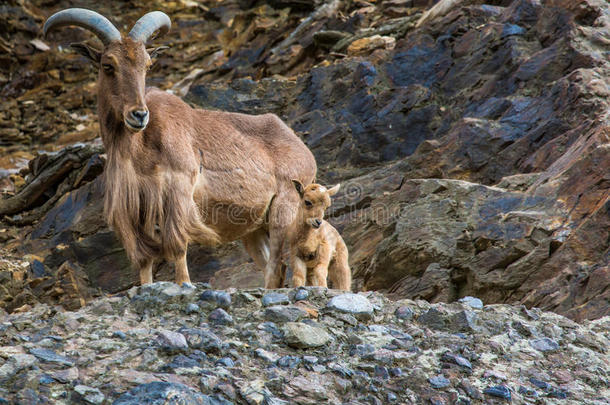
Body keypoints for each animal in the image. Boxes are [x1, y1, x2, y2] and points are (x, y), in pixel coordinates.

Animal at [44, 8, 314, 288]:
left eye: (147, 65)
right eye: (108, 65)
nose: (139, 115)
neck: (139, 148)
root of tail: (301, 148)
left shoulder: (179, 188)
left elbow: (176, 245)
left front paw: (184, 283)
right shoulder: (133, 205)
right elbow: (144, 258)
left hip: (284, 210)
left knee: (277, 264)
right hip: (254, 227)